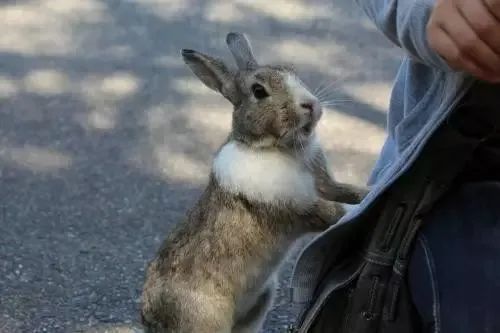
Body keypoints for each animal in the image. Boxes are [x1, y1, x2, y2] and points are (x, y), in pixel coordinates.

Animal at [140, 31, 368, 332]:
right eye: (259, 91)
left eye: (292, 71)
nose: (311, 105)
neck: (274, 147)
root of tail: (150, 319)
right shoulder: (300, 208)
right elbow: (332, 211)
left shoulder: (325, 184)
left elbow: (343, 190)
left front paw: (367, 192)